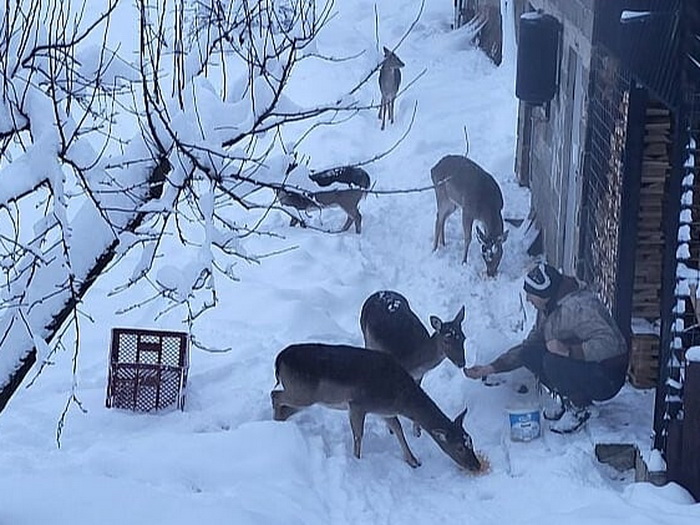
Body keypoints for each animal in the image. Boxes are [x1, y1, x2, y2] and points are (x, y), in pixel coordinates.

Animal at [270, 342, 482, 468]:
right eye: (459, 447)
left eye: (471, 440)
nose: (476, 465)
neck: (400, 397)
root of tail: (278, 360)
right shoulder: (358, 404)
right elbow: (358, 435)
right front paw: (357, 461)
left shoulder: (384, 411)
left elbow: (398, 429)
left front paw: (413, 461)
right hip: (303, 393)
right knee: (275, 395)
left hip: (305, 396)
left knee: (283, 405)